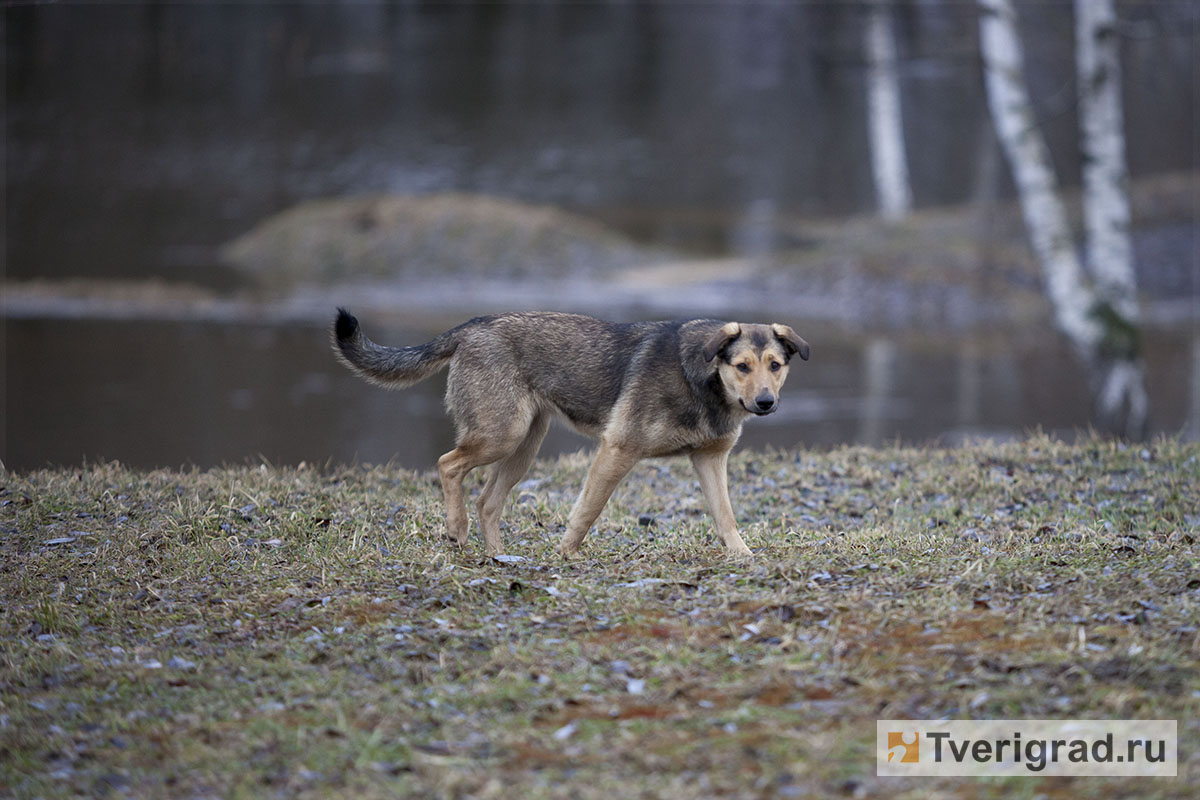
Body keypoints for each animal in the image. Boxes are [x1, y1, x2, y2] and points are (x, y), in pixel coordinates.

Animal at [333, 309, 811, 561]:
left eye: (776, 365)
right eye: (742, 366)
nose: (765, 403)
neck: (705, 381)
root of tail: (472, 326)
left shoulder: (711, 460)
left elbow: (726, 517)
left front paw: (743, 557)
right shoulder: (616, 450)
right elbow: (585, 513)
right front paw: (564, 555)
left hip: (524, 447)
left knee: (488, 501)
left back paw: (498, 555)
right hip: (499, 436)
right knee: (447, 465)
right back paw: (456, 529)